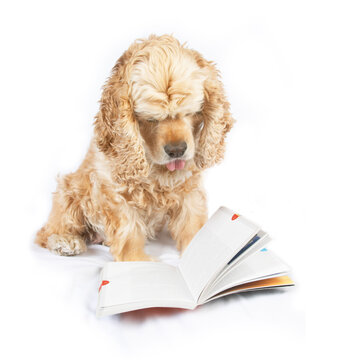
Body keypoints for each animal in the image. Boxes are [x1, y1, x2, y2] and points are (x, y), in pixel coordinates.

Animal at [34, 35, 234, 260]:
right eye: (150, 119)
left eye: (190, 112)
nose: (176, 151)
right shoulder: (114, 193)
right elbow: (128, 231)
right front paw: (137, 261)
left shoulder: (189, 189)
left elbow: (193, 224)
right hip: (70, 189)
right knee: (46, 231)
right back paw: (65, 241)